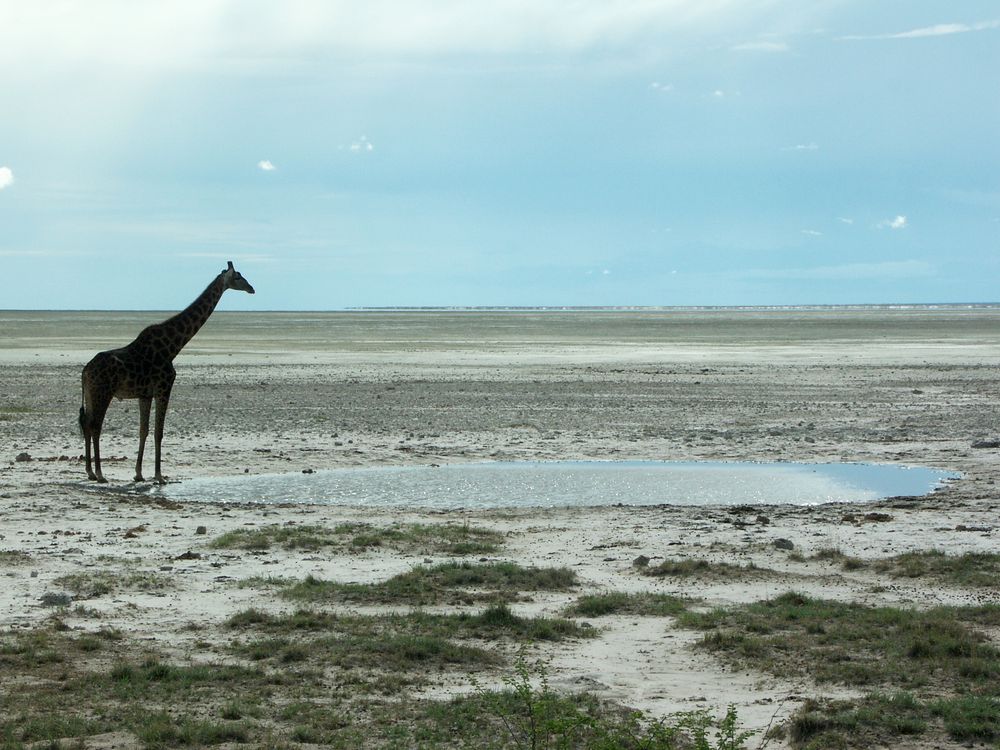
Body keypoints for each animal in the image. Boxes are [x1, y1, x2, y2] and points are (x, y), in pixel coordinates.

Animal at [80, 262, 256, 484]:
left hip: (91, 393)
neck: (173, 347)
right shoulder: (164, 388)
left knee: (87, 424)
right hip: (103, 392)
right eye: (239, 277)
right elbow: (159, 432)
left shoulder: (145, 395)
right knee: (95, 426)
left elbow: (144, 430)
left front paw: (139, 474)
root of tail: (85, 370)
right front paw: (159, 476)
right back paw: (100, 474)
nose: (252, 288)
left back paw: (90, 471)